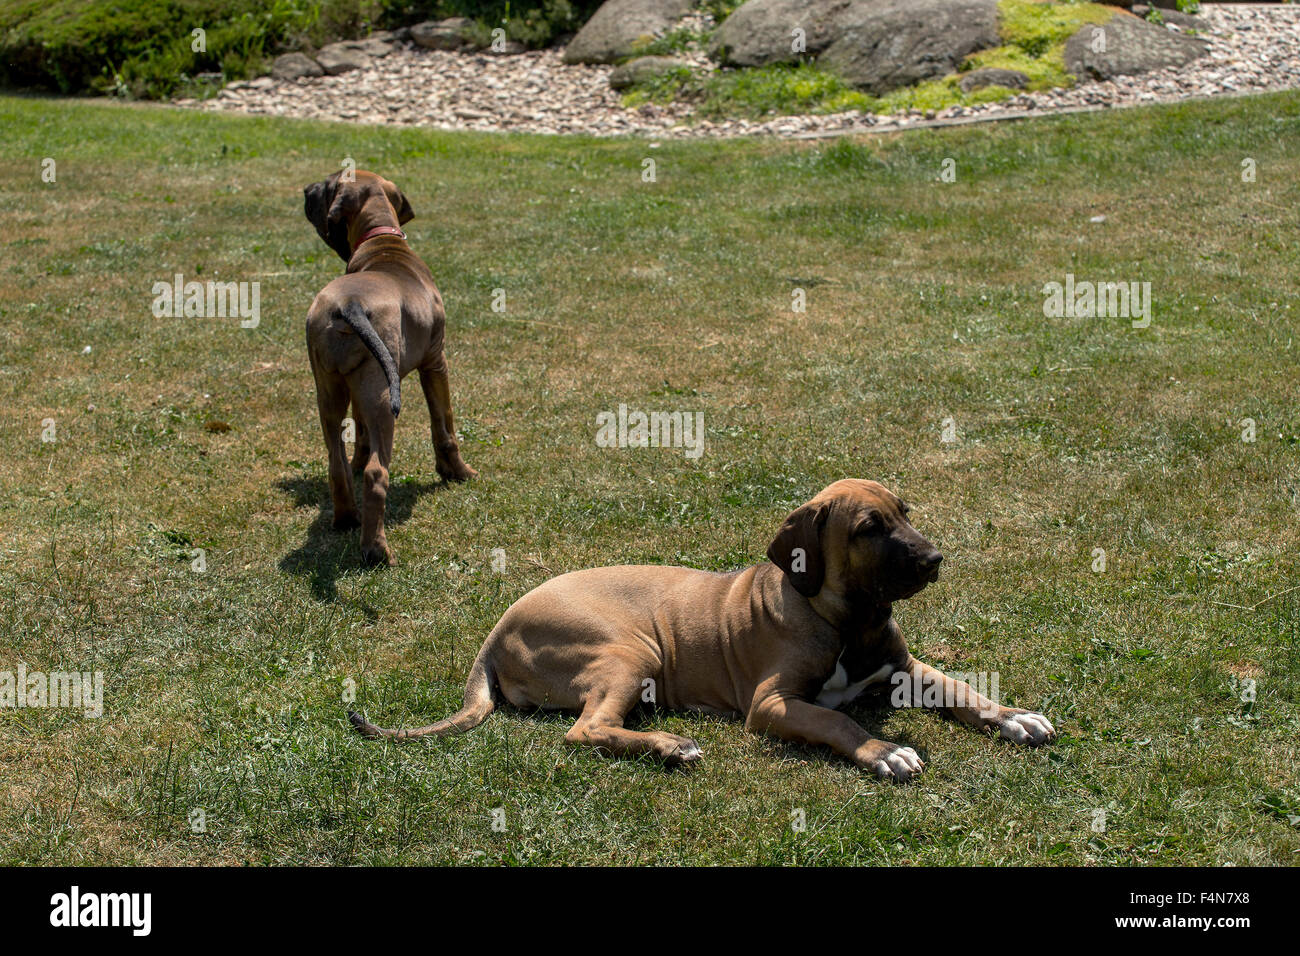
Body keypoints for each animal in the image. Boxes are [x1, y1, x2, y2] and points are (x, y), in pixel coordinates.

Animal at [301, 170, 475, 567]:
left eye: (330, 183)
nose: (306, 191)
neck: (381, 240)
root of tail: (349, 305)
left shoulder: (355, 389)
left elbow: (360, 434)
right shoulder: (436, 361)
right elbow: (444, 425)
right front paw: (457, 472)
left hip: (332, 388)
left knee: (336, 462)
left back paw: (346, 518)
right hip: (382, 396)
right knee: (376, 473)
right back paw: (376, 550)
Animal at [348, 478, 1055, 780]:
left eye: (904, 512)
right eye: (868, 529)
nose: (935, 559)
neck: (845, 620)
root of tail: (496, 631)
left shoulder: (905, 669)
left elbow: (962, 689)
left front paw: (1013, 716)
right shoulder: (774, 704)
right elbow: (837, 721)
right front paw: (882, 751)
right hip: (630, 650)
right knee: (585, 731)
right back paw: (667, 746)